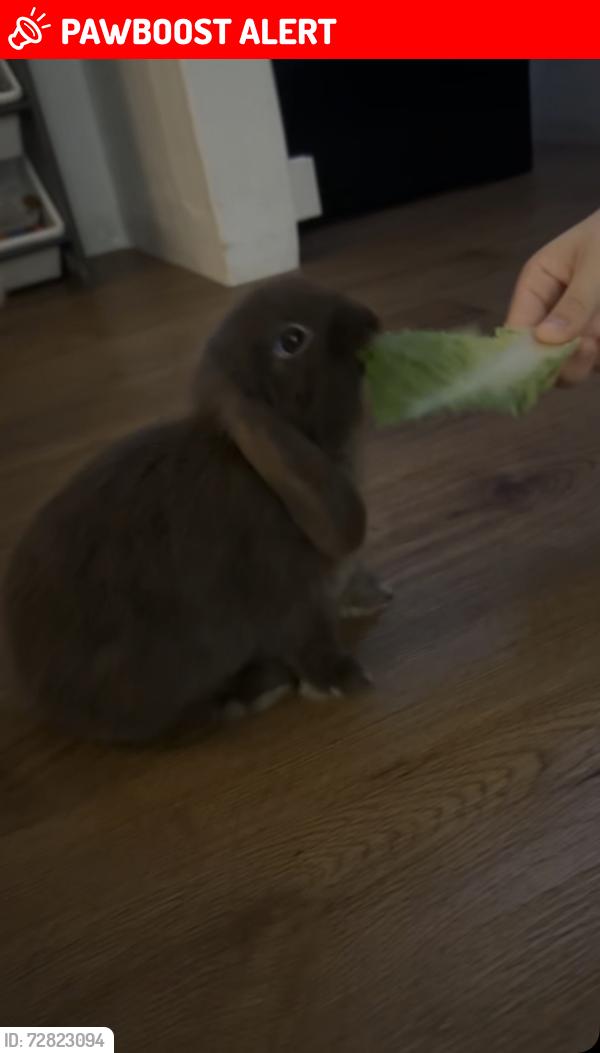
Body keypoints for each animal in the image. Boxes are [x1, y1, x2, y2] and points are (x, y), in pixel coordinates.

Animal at [2, 276, 383, 743]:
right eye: (291, 340)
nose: (371, 321)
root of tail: (35, 689)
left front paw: (369, 595)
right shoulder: (291, 598)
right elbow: (310, 642)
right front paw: (344, 680)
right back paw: (256, 690)